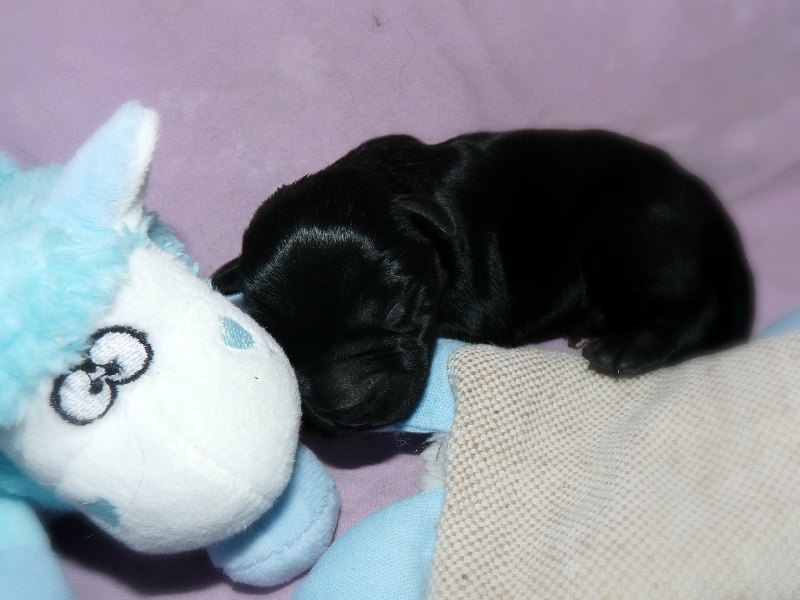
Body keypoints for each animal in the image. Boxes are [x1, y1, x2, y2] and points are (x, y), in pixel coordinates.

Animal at [212, 129, 754, 432]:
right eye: (281, 338)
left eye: (398, 310)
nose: (344, 408)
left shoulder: (478, 305)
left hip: (626, 228)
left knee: (696, 304)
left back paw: (627, 348)